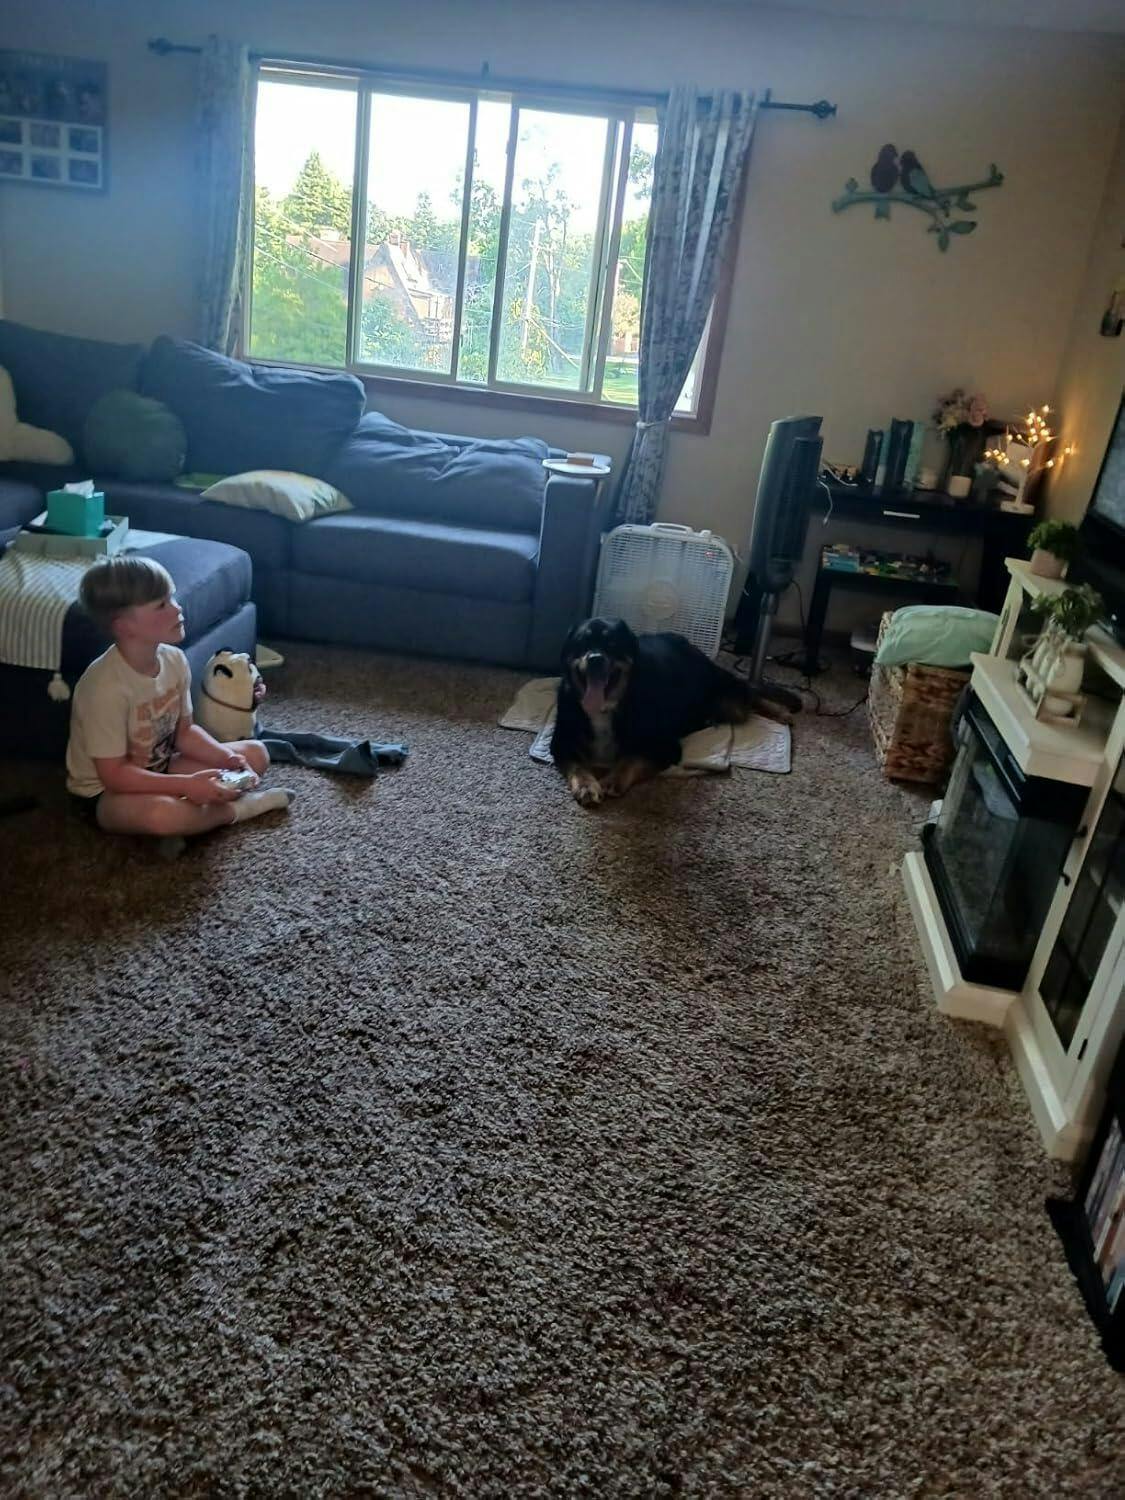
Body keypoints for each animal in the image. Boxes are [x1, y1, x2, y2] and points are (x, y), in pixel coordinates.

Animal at [550, 617, 793, 807]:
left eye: (612, 643)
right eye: (581, 643)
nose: (595, 659)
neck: (607, 708)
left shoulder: (665, 746)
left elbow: (631, 757)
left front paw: (612, 780)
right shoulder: (562, 743)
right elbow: (577, 765)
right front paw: (586, 785)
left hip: (727, 701)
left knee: (747, 692)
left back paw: (781, 712)